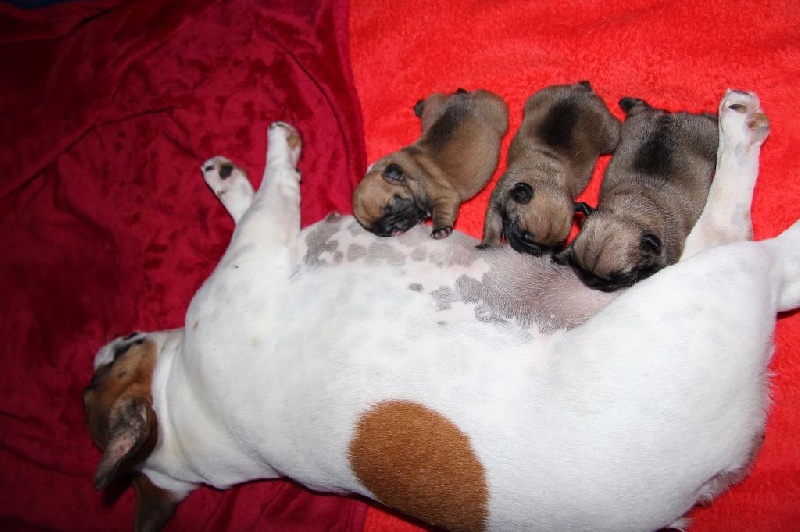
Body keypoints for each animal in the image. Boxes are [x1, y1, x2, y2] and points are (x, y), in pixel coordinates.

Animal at [352, 88, 506, 238]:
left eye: (394, 204)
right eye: (376, 230)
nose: (392, 228)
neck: (408, 176)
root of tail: (467, 98)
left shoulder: (444, 196)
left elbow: (441, 212)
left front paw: (440, 229)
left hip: (499, 112)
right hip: (434, 109)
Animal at [482, 82, 620, 255]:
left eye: (559, 244)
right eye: (522, 234)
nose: (538, 251)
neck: (546, 176)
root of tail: (582, 91)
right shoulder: (498, 198)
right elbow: (493, 224)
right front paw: (489, 244)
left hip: (610, 136)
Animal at [556, 97, 720, 294]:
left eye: (620, 278)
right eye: (579, 267)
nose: (591, 281)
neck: (629, 212)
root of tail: (668, 118)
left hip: (707, 136)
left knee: (710, 121)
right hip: (636, 121)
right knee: (639, 107)